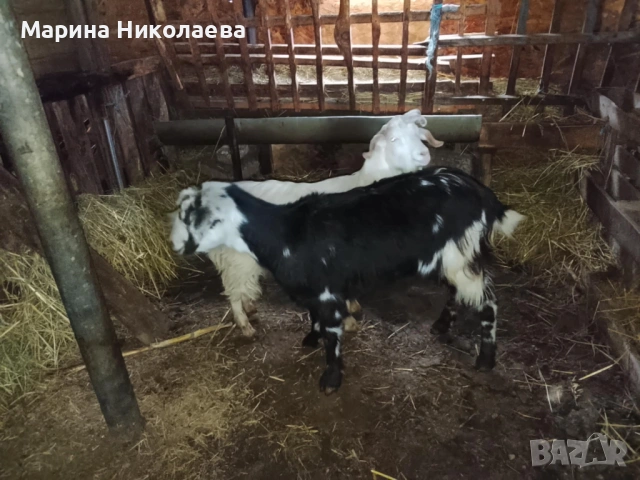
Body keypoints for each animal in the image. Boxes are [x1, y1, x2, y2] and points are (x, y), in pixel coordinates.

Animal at [170, 153, 524, 394]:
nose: (176, 245)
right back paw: (441, 325)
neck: (284, 233)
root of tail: (483, 194)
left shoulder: (327, 290)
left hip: (459, 255)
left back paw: (486, 360)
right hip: (448, 257)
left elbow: (332, 334)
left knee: (488, 302)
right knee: (457, 292)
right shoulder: (318, 287)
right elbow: (314, 317)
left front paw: (331, 378)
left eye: (204, 218)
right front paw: (311, 338)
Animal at [204, 109, 443, 337]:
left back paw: (250, 309)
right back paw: (245, 326)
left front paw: (353, 307)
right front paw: (349, 322)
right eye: (394, 140)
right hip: (237, 260)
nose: (423, 154)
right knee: (233, 292)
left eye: (419, 136)